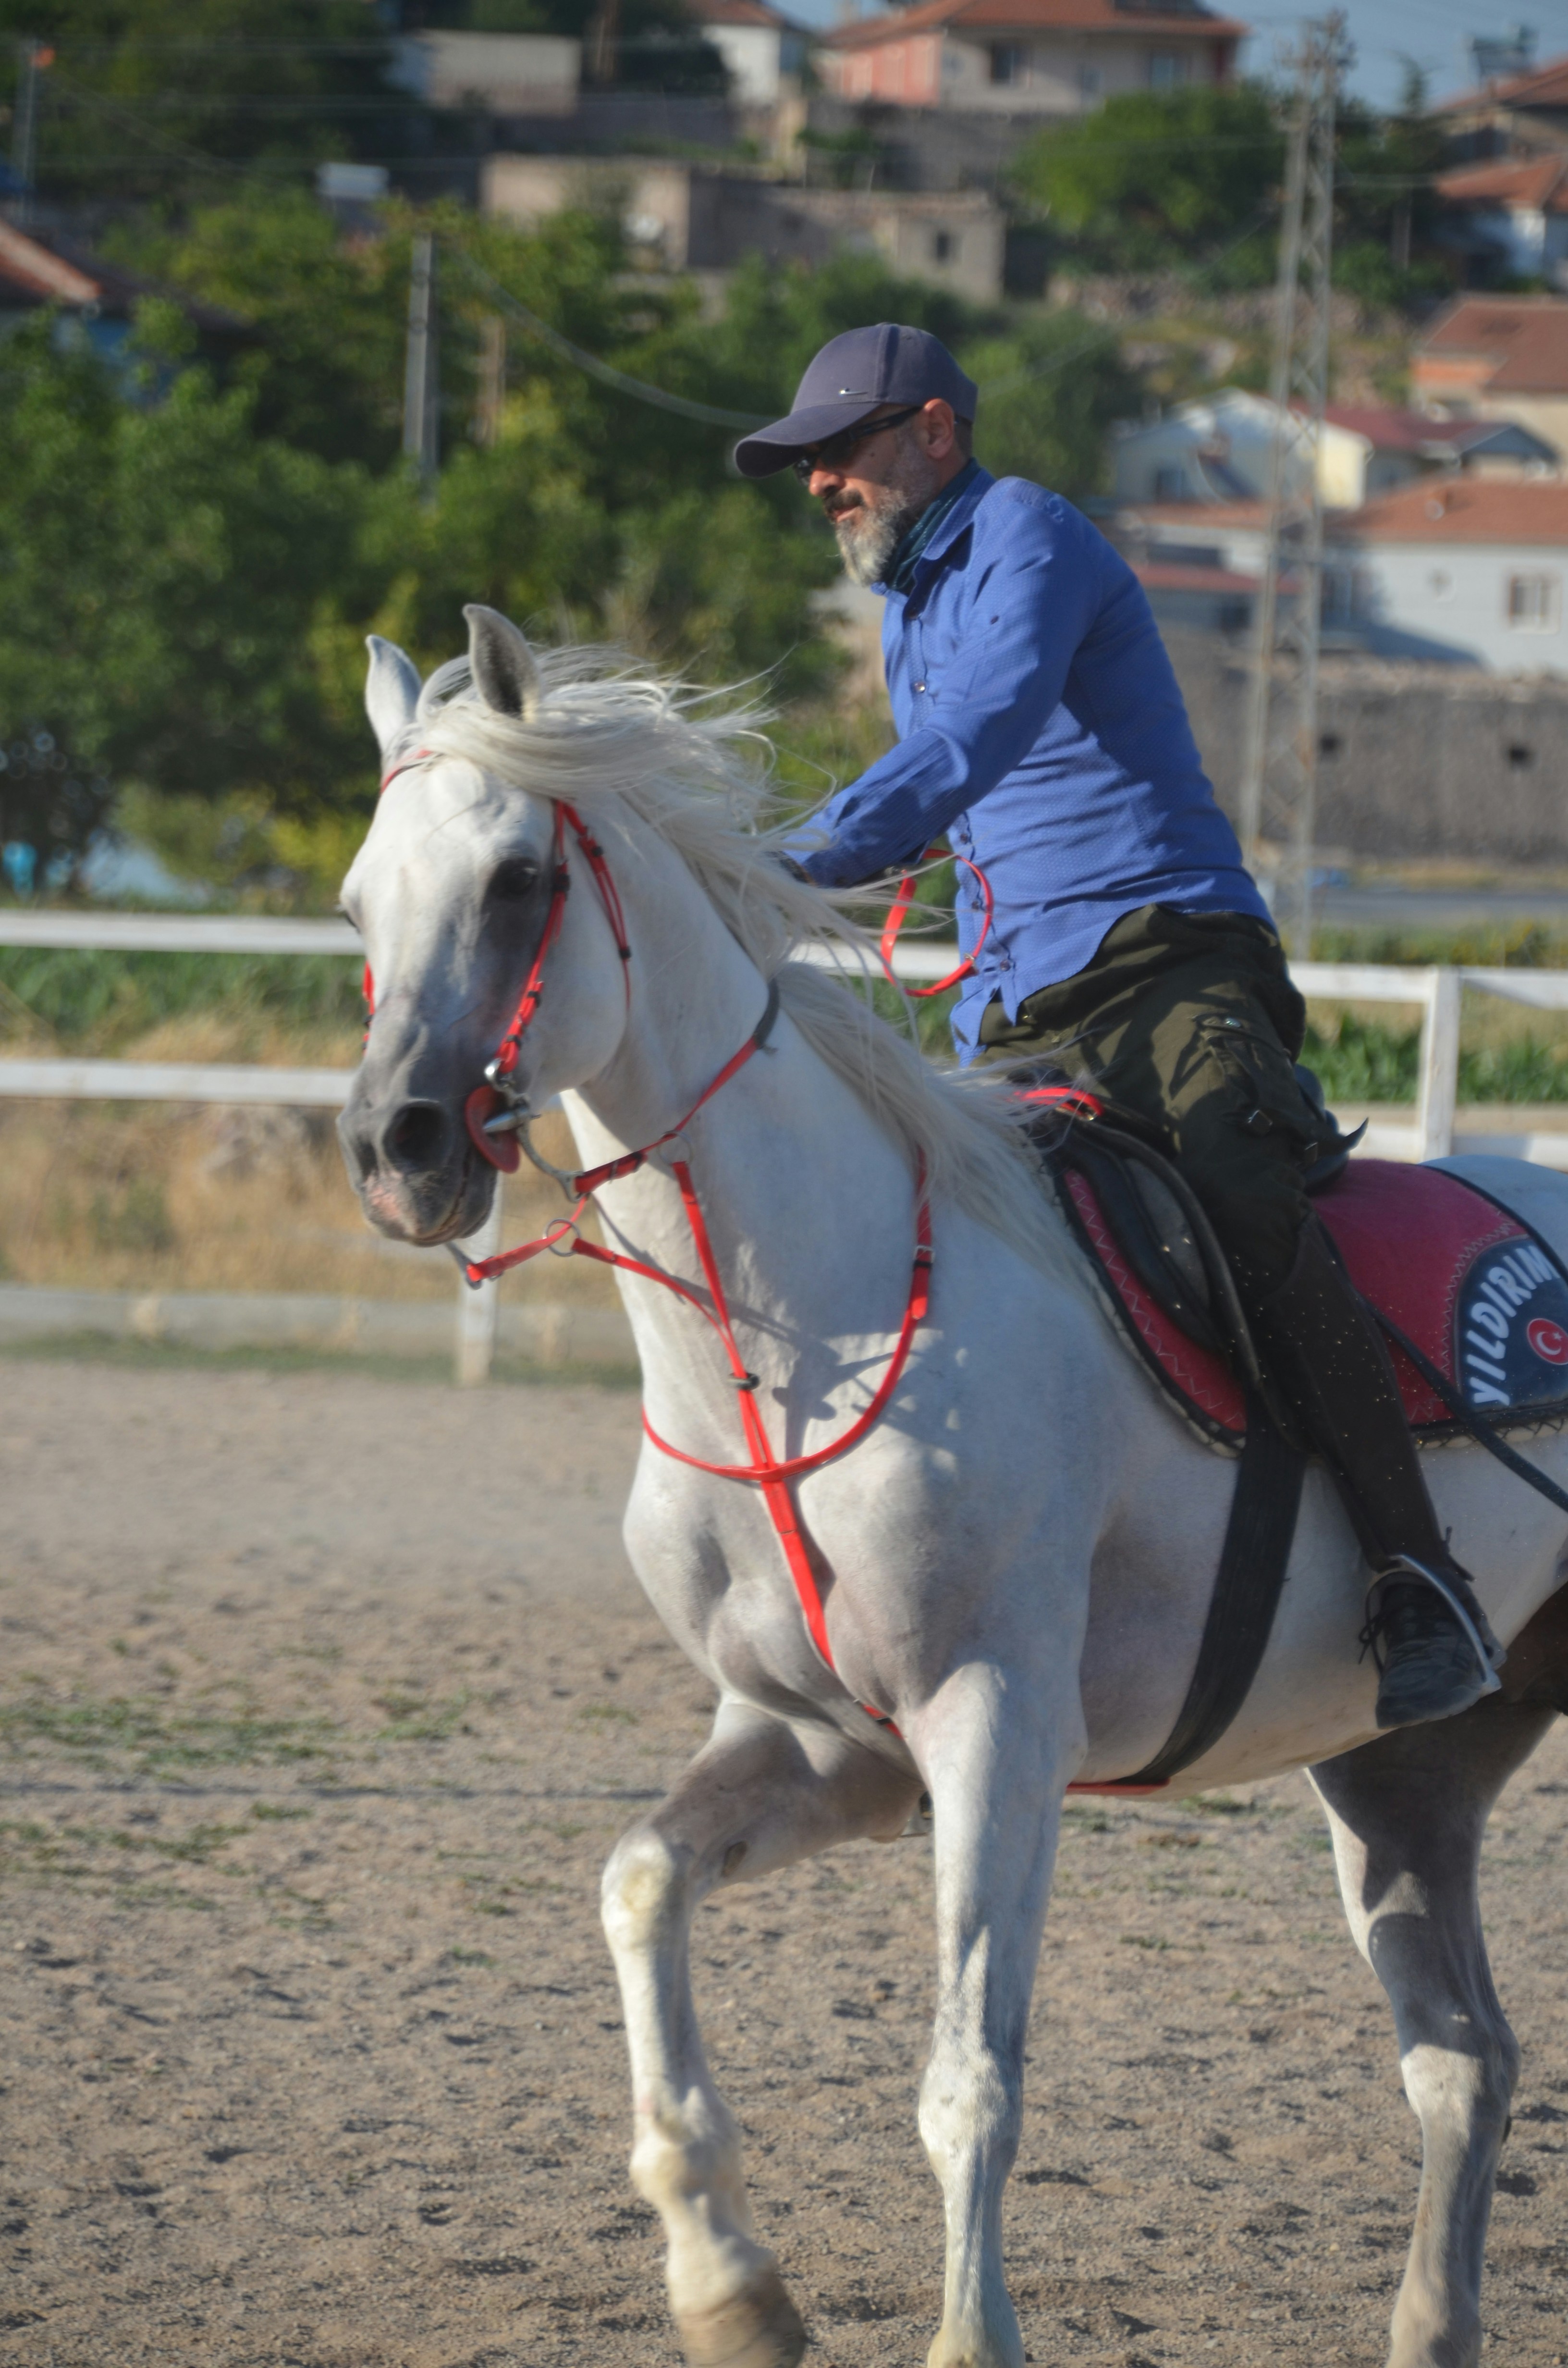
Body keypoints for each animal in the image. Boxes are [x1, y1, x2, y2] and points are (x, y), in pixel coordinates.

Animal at [337, 604, 1568, 2368]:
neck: (804, 1335)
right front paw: (731, 2287)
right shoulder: (818, 1743)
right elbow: (638, 1886)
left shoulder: (996, 1723)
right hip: (1409, 1773)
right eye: (359, 897)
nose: (398, 1150)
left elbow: (968, 2078)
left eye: (516, 879)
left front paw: (961, 2332)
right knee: (1464, 2061)